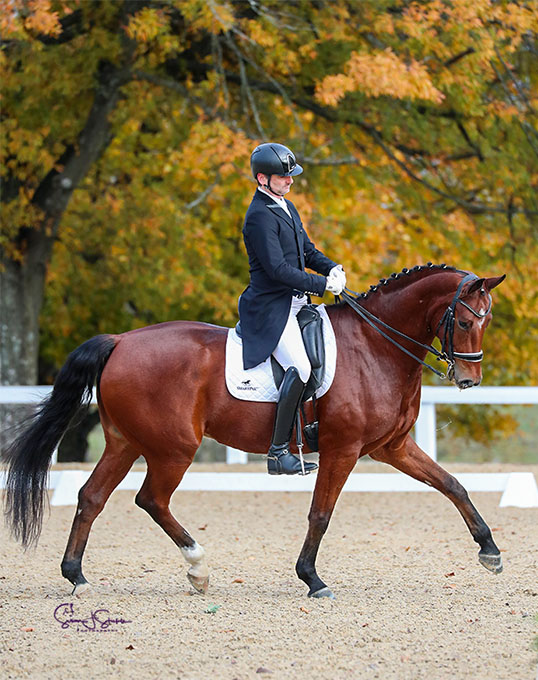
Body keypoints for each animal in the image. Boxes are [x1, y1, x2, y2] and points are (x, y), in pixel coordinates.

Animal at [3, 262, 502, 596]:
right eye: (463, 320)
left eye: (488, 321)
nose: (468, 380)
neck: (376, 345)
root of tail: (121, 340)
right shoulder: (342, 449)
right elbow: (321, 514)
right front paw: (311, 578)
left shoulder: (392, 447)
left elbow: (453, 485)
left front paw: (490, 551)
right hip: (173, 448)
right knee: (151, 500)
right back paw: (198, 568)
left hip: (124, 443)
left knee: (92, 497)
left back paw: (77, 576)